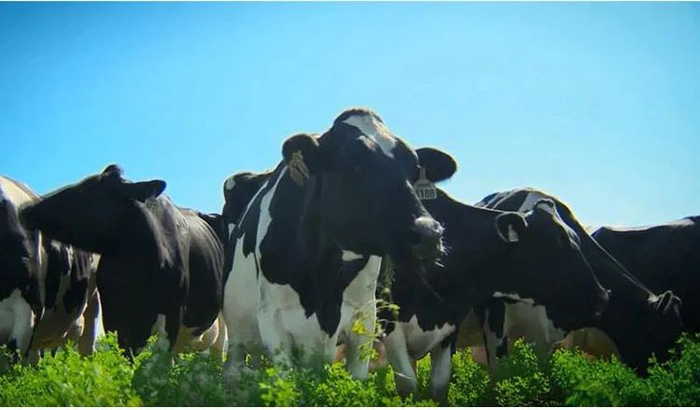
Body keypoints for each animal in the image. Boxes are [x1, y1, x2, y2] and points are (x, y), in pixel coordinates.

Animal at [222, 108, 457, 381]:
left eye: (415, 167)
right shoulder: (272, 318)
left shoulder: (364, 318)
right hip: (237, 332)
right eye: (353, 160)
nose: (429, 232)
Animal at [379, 186, 610, 401]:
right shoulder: (390, 325)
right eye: (558, 242)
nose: (602, 296)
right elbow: (408, 387)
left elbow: (439, 388)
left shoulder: (450, 326)